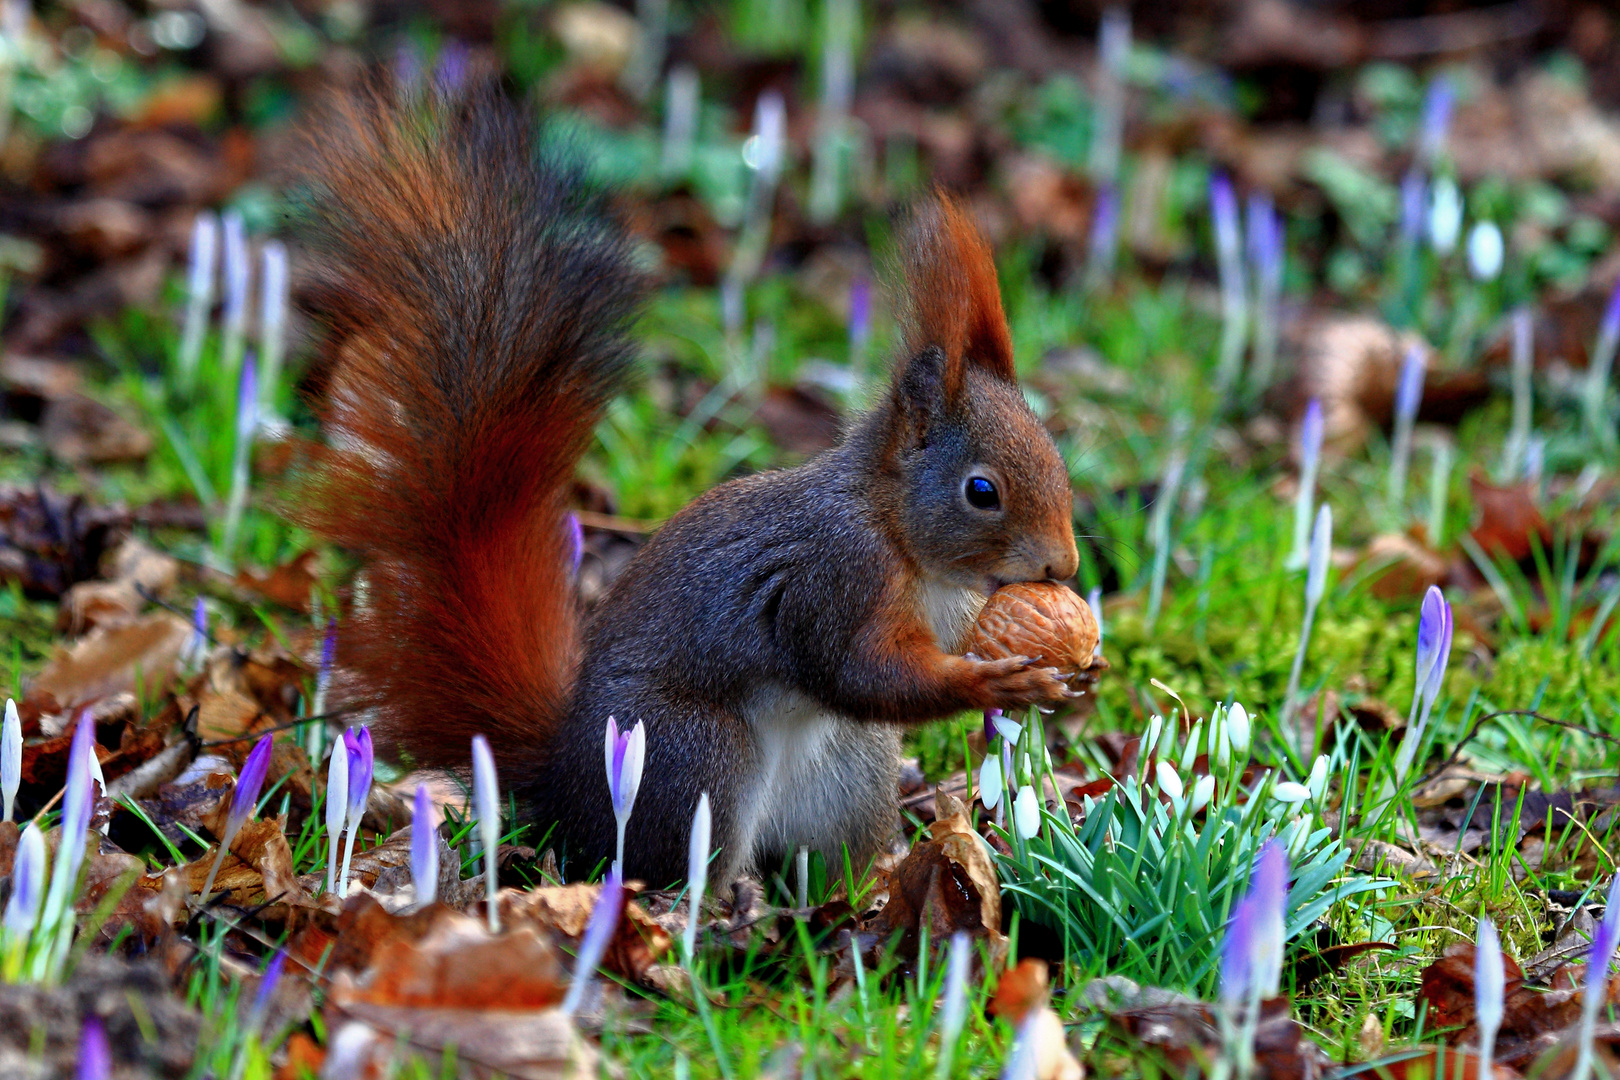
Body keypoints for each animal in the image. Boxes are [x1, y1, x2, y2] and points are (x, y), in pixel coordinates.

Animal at [294, 84, 1075, 887]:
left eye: (1057, 457)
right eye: (981, 491)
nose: (1064, 566)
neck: (898, 533)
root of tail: (566, 788)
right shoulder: (836, 576)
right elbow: (861, 673)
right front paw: (996, 684)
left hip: (849, 773)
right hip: (694, 754)